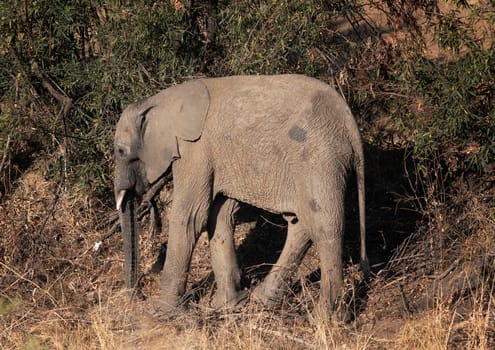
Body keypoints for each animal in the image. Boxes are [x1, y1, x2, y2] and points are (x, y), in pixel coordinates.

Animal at [113, 73, 368, 318]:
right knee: (301, 223)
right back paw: (263, 300)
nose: (137, 294)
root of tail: (349, 121)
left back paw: (328, 319)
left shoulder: (195, 150)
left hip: (319, 159)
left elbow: (190, 217)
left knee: (325, 227)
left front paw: (161, 313)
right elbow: (219, 218)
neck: (157, 102)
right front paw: (227, 307)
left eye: (120, 151)